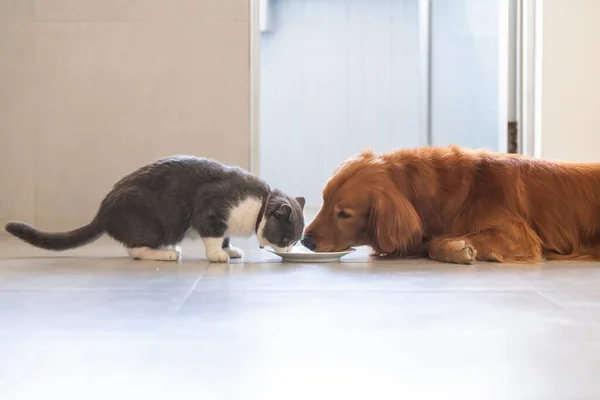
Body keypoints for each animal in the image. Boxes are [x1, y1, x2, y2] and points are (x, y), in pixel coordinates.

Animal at [4, 155, 304, 262]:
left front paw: (230, 249)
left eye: (295, 240)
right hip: (153, 225)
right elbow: (212, 236)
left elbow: (225, 236)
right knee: (134, 249)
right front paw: (218, 254)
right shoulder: (211, 209)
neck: (259, 205)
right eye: (287, 239)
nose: (290, 250)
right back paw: (166, 254)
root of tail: (103, 211)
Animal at [300, 145, 600, 264]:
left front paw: (458, 248)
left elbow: (437, 243)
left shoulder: (520, 236)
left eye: (344, 214)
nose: (305, 240)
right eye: (324, 201)